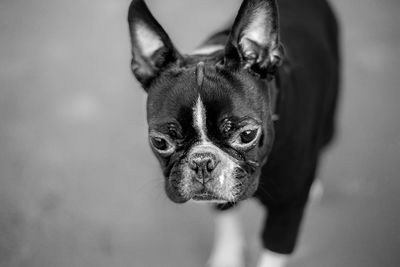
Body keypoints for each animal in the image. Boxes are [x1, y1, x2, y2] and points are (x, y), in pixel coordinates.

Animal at [126, 0, 340, 266]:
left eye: (247, 135)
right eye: (160, 142)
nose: (202, 161)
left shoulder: (287, 209)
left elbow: (272, 252)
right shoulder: (219, 199)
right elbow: (225, 218)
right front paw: (227, 257)